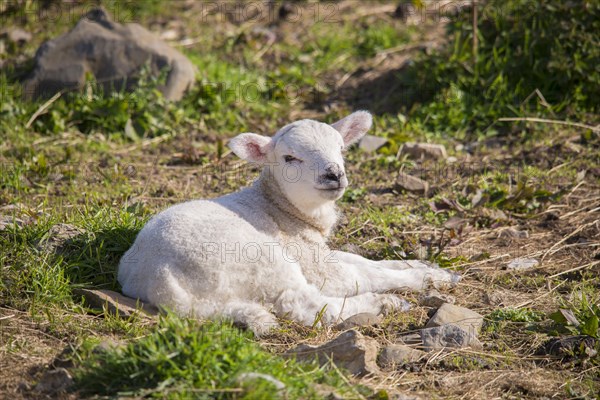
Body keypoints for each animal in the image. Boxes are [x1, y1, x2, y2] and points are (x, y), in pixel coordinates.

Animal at [119, 111, 462, 336]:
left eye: (341, 148)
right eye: (289, 158)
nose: (334, 174)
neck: (279, 207)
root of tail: (159, 279)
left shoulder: (318, 252)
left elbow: (366, 262)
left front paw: (431, 270)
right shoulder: (314, 264)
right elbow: (361, 275)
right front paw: (422, 280)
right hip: (258, 260)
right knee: (306, 305)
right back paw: (384, 304)